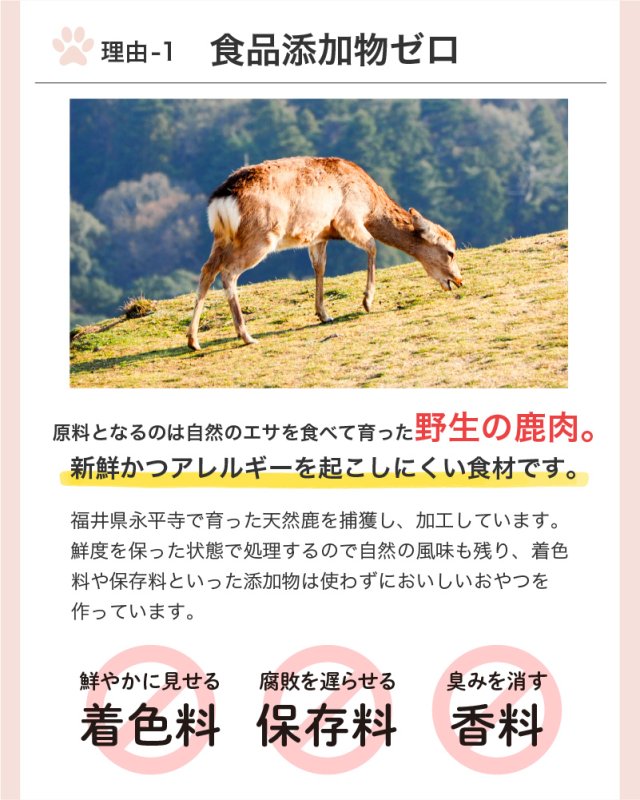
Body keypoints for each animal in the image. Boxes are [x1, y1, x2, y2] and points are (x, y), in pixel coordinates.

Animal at [187, 156, 462, 350]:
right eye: (450, 251)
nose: (458, 280)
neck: (371, 205)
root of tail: (221, 201)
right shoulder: (347, 218)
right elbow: (372, 245)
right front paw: (367, 301)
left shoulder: (318, 235)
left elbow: (320, 267)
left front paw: (324, 315)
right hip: (260, 236)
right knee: (229, 272)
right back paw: (246, 335)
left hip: (221, 238)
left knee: (207, 270)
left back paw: (193, 340)